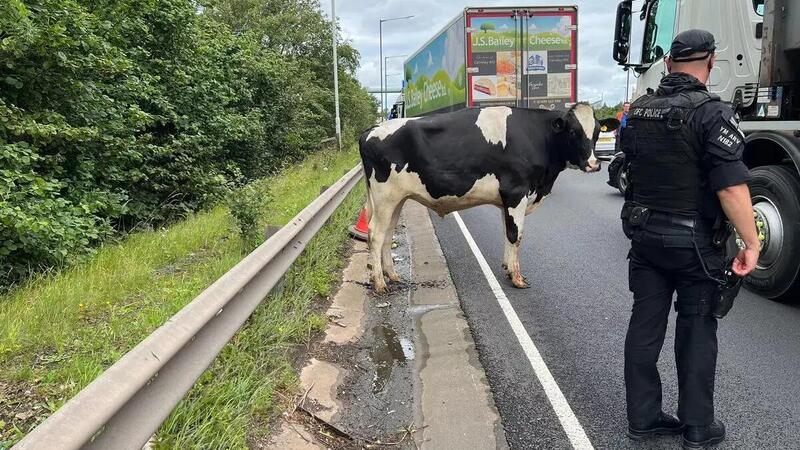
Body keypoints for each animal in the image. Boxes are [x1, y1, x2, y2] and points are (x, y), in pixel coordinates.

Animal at [358, 103, 608, 294]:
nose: (594, 164)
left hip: (396, 199)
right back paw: (380, 284)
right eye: (573, 132)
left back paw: (392, 275)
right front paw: (517, 279)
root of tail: (370, 130)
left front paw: (507, 268)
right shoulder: (516, 192)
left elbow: (507, 232)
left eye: (596, 132)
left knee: (388, 233)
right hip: (385, 197)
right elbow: (516, 234)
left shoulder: (506, 199)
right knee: (376, 234)